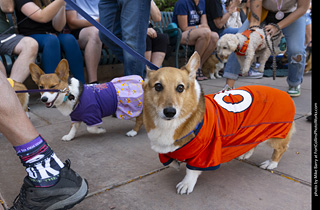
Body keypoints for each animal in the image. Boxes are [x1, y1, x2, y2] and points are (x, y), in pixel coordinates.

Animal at [144, 52, 296, 195]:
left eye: (180, 88)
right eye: (158, 86)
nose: (170, 112)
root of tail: (283, 93)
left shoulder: (206, 153)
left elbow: (191, 170)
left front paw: (186, 184)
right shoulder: (164, 149)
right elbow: (169, 161)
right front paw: (175, 163)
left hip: (275, 133)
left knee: (281, 148)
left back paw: (271, 163)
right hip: (253, 131)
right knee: (255, 142)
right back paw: (246, 154)